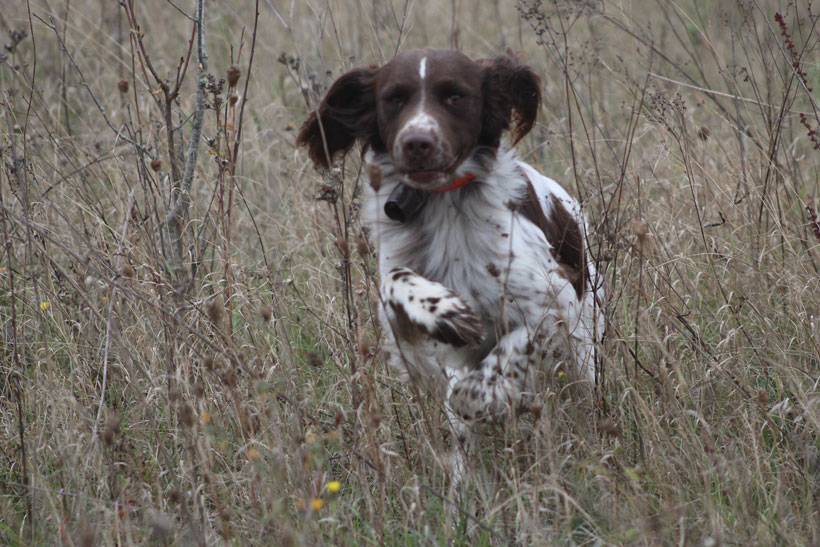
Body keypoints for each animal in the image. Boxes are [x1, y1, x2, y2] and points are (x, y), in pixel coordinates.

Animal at [298, 49, 604, 454]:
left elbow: (483, 379)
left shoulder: (555, 305)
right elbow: (395, 284)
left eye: (455, 96)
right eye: (394, 98)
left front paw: (486, 395)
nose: (417, 142)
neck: (442, 205)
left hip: (586, 345)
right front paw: (444, 311)